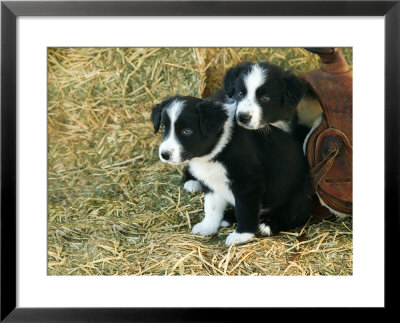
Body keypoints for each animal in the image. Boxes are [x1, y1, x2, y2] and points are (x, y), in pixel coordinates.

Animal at [150, 95, 312, 247]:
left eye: (187, 131)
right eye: (164, 127)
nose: (164, 154)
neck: (218, 150)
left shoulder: (248, 184)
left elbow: (245, 211)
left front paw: (242, 235)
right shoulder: (212, 183)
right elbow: (212, 207)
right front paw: (208, 226)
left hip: (299, 195)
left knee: (293, 214)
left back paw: (268, 225)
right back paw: (227, 217)